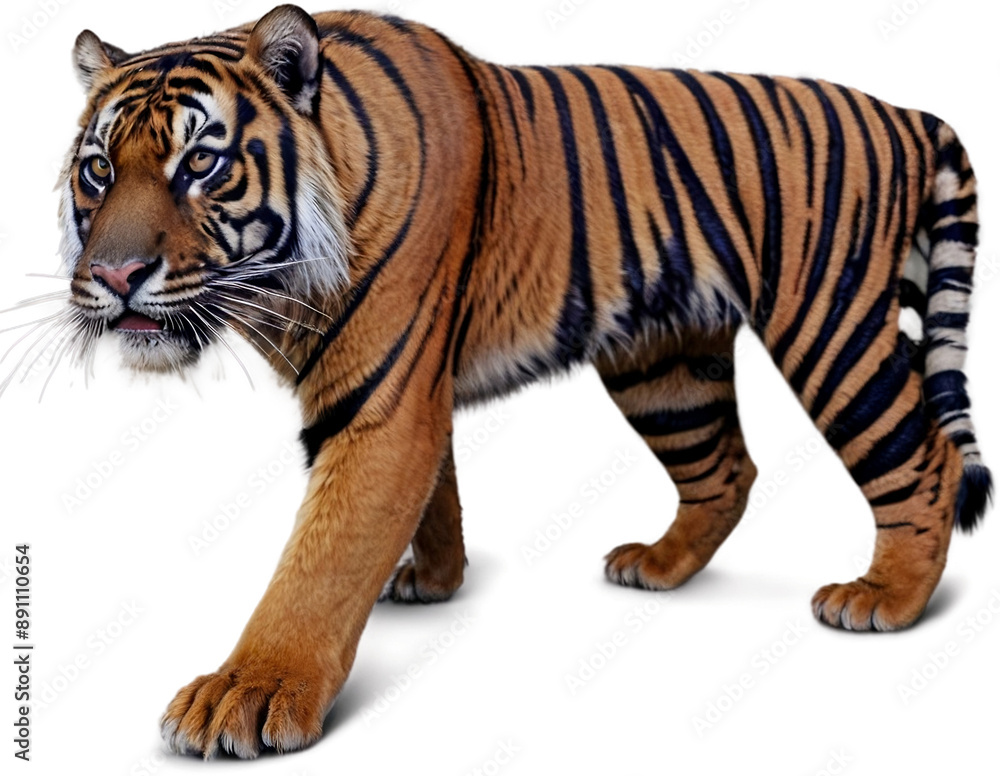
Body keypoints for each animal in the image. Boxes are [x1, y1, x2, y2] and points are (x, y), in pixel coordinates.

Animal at [45, 2, 989, 759]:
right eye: (99, 169)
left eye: (199, 166)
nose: (115, 277)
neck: (278, 292)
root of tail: (904, 112)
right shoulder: (402, 391)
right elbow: (429, 498)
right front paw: (433, 581)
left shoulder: (381, 401)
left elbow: (323, 558)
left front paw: (248, 693)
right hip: (663, 362)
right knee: (726, 469)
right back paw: (659, 565)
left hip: (827, 326)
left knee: (923, 457)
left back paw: (885, 599)